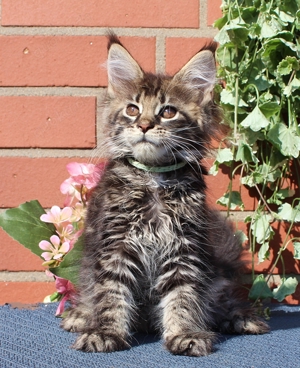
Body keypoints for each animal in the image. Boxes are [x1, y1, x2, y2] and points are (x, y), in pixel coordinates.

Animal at [61, 34, 270, 356]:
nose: (145, 125)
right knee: (89, 293)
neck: (153, 180)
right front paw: (105, 331)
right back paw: (81, 315)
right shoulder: (116, 246)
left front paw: (185, 333)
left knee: (221, 300)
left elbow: (183, 295)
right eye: (132, 109)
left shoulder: (184, 247)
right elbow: (110, 293)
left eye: (168, 112)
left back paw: (241, 318)